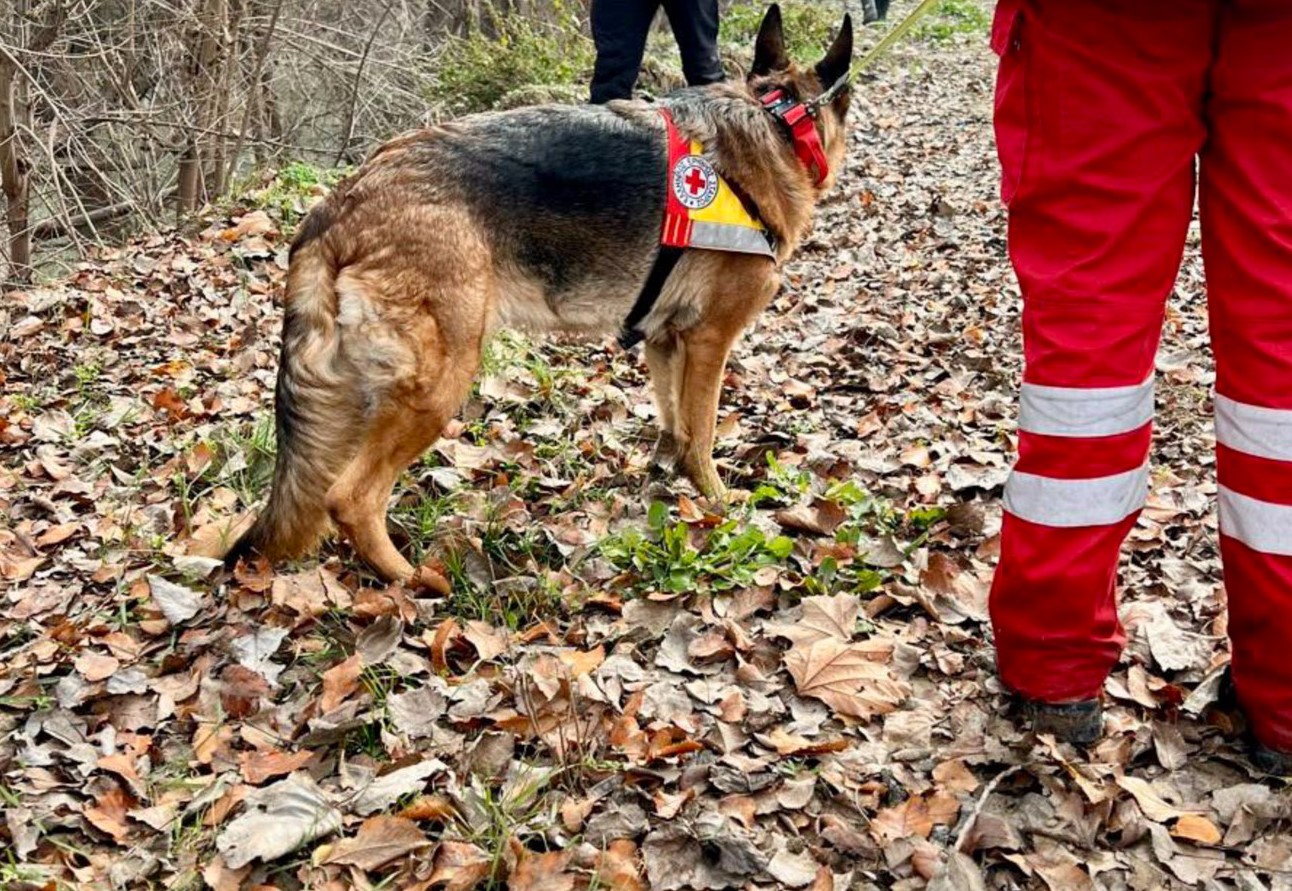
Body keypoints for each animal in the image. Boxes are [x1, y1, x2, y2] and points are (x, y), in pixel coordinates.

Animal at [229, 6, 857, 578]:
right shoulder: (709, 342)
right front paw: (718, 505)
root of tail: (341, 202)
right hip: (439, 384)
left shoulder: (664, 342)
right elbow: (701, 434)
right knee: (350, 498)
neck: (777, 118)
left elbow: (673, 423)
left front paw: (665, 476)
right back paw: (414, 580)